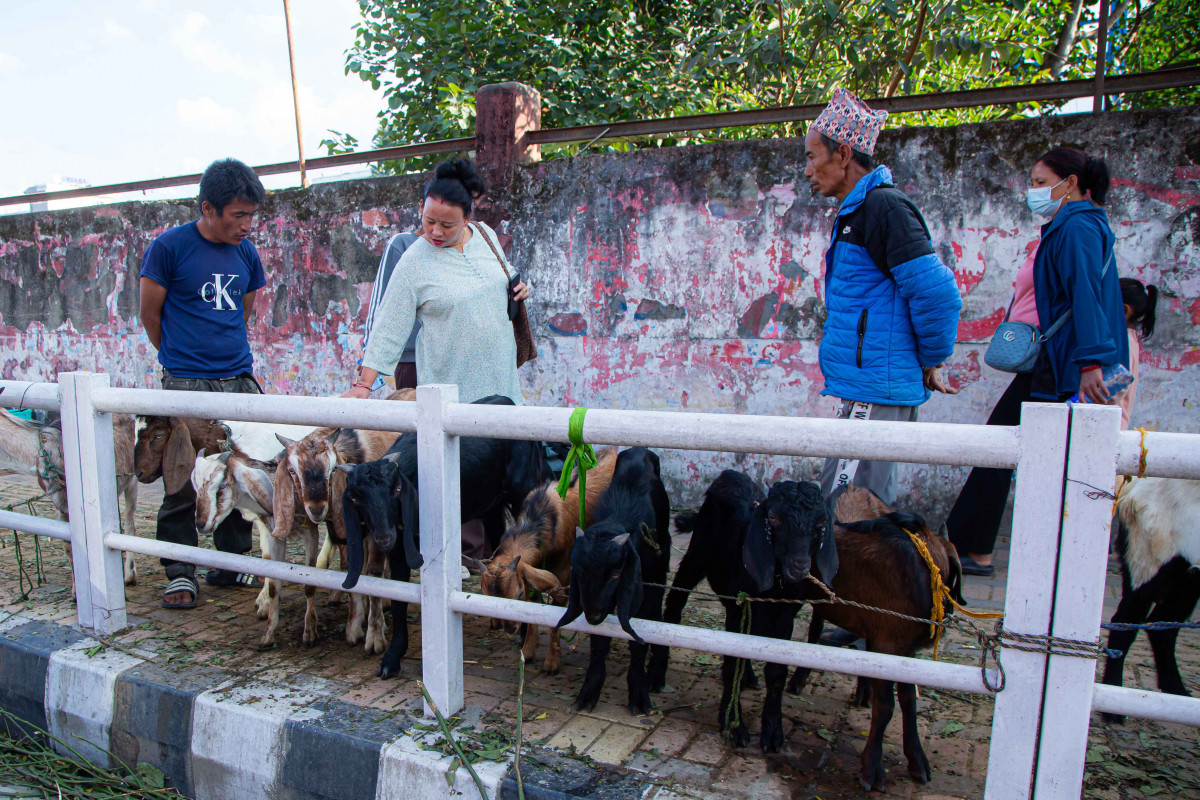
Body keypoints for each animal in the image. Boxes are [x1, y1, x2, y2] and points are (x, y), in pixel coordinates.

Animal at [475, 448, 619, 671]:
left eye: (517, 595)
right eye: (488, 597)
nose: (510, 628)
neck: (543, 519)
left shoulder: (563, 572)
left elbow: (555, 611)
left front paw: (552, 661)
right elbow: (534, 602)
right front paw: (528, 650)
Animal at [667, 470, 835, 753]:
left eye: (821, 522)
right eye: (774, 519)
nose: (800, 565)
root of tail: (730, 474)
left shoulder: (785, 614)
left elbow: (776, 672)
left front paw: (773, 733)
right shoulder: (738, 605)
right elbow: (731, 661)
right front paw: (733, 725)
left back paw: (748, 677)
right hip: (697, 552)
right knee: (676, 599)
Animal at [787, 484, 964, 791]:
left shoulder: (903, 649)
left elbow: (908, 701)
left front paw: (917, 761)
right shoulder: (889, 642)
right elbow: (887, 707)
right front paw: (871, 769)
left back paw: (862, 691)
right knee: (816, 628)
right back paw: (800, 680)